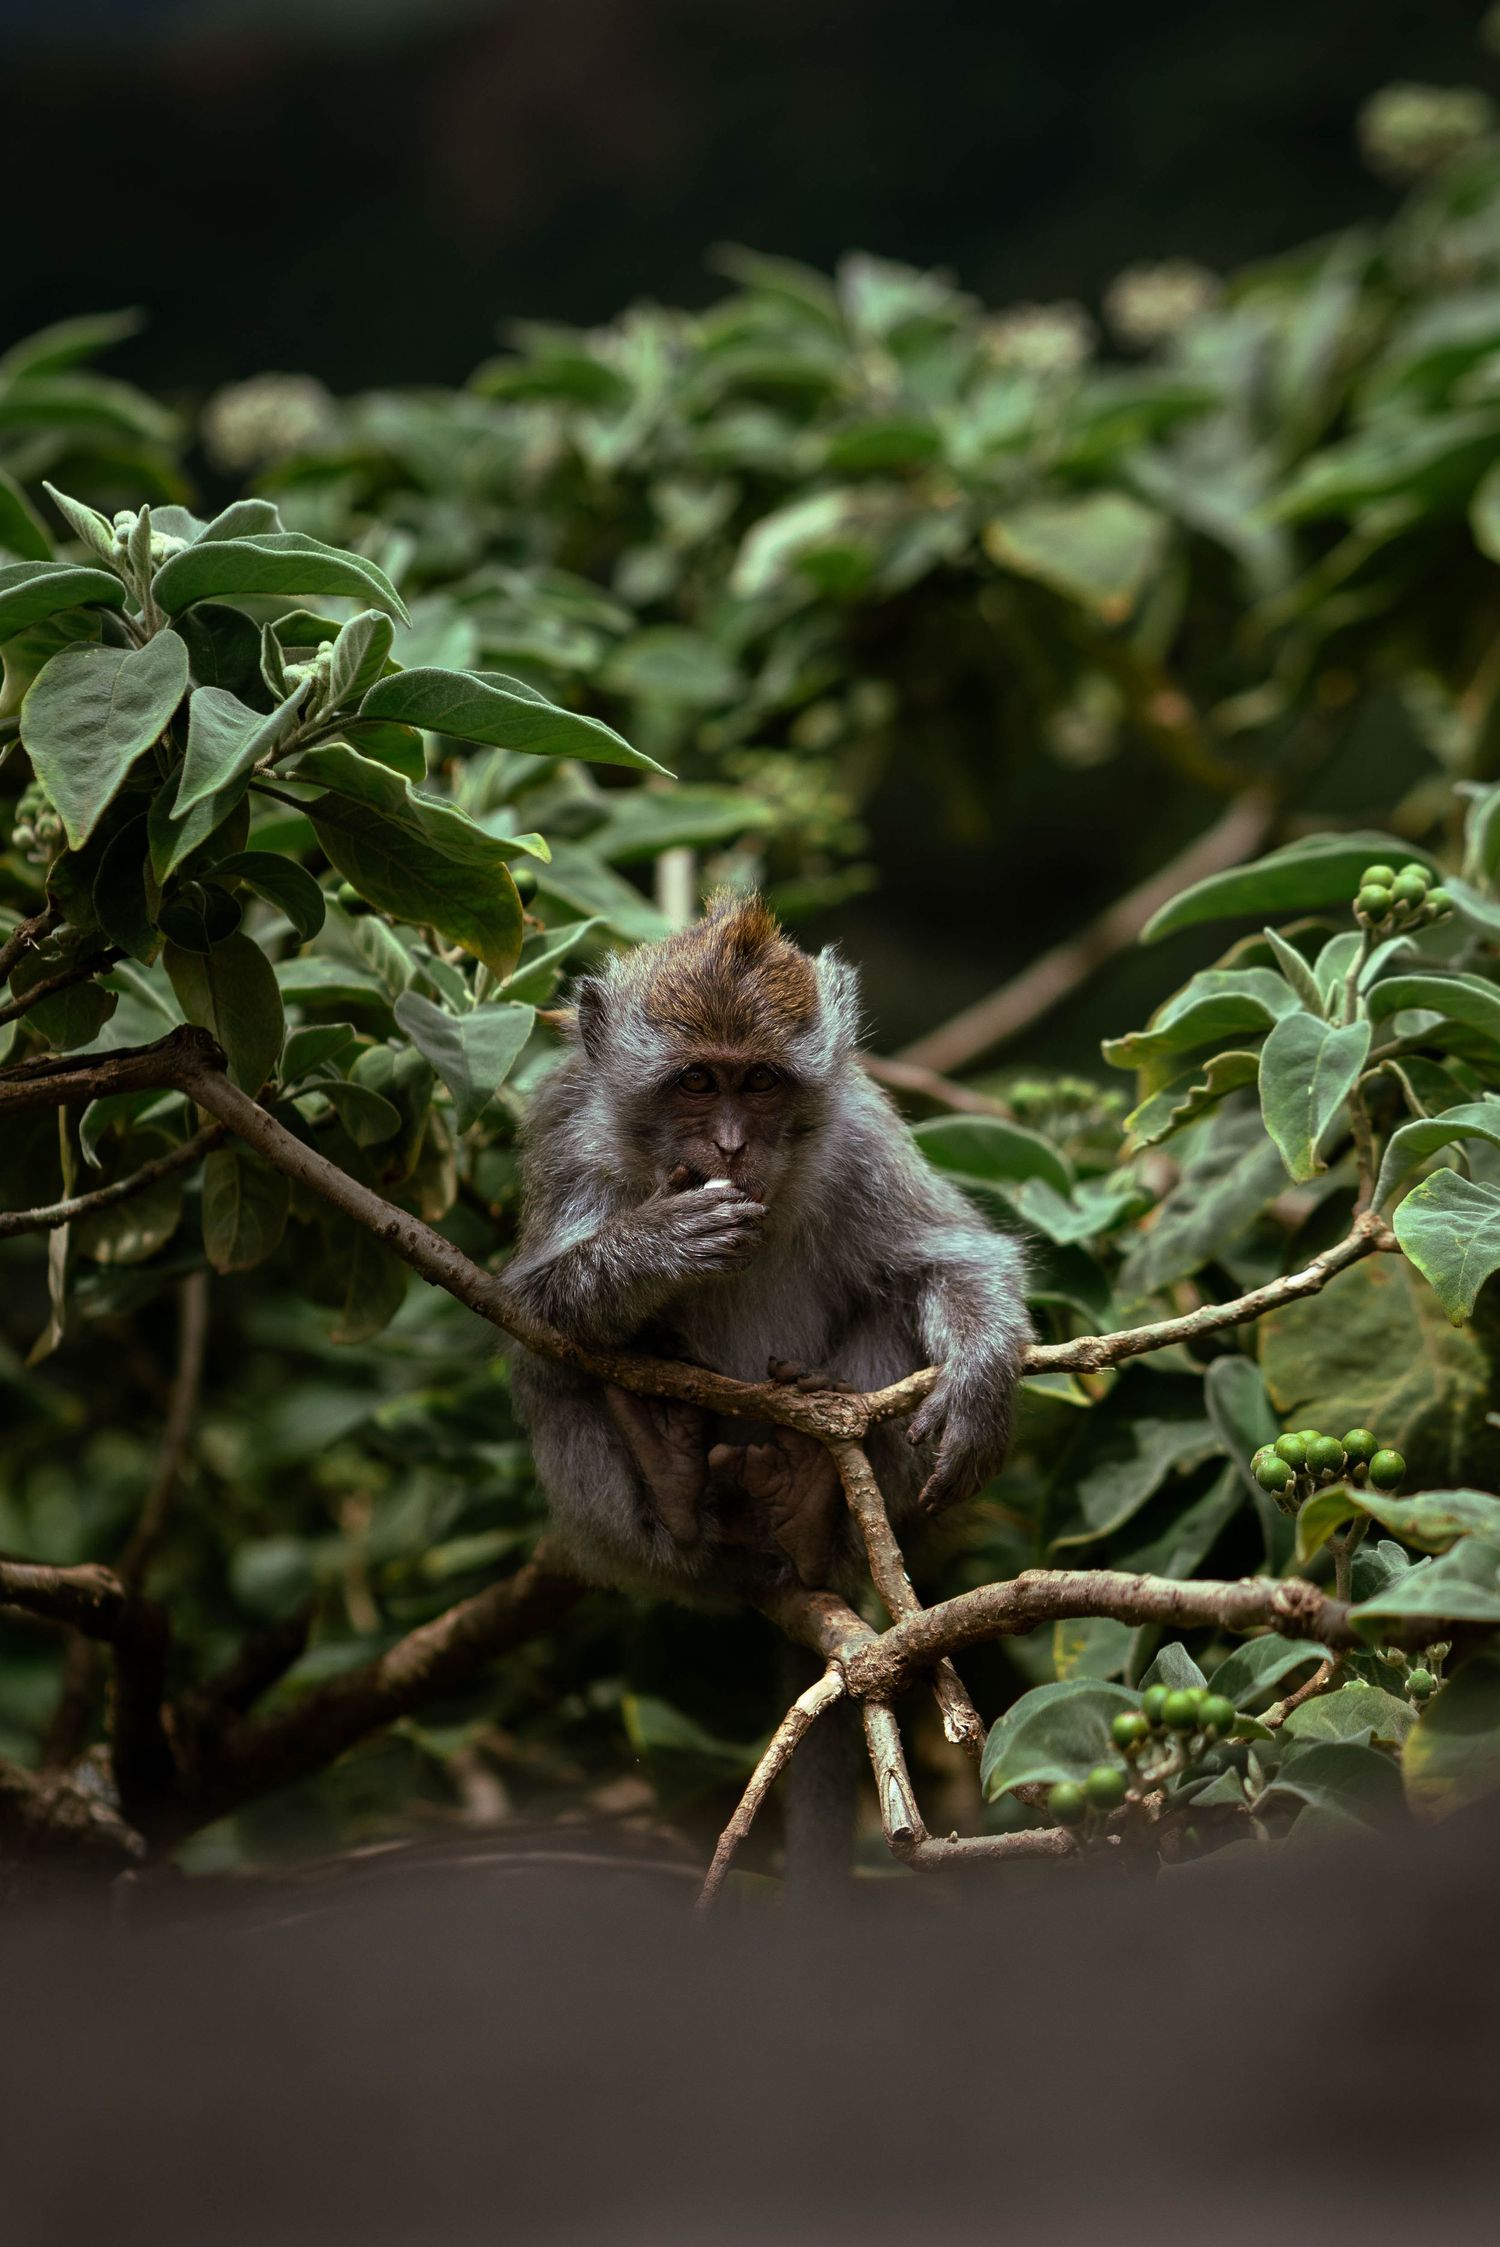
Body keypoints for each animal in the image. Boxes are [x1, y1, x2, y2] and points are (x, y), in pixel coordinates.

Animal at [505, 891, 1031, 1603]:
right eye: (697, 1081)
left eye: (760, 1080)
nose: (731, 1146)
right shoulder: (570, 1141)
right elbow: (528, 1311)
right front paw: (658, 1245)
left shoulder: (861, 1140)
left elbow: (949, 1256)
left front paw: (979, 1384)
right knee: (557, 1375)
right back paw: (669, 1472)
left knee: (892, 1306)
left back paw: (804, 1502)